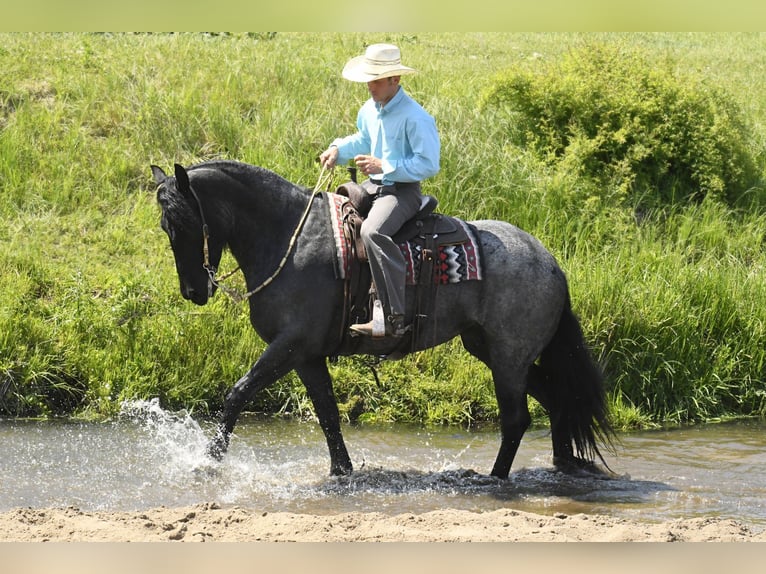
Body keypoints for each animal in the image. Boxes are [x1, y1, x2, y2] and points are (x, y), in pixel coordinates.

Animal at [153, 160, 616, 480]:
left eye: (185, 222)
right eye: (165, 226)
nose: (193, 291)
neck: (287, 237)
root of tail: (550, 262)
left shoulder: (289, 346)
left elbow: (237, 394)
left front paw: (208, 463)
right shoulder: (306, 356)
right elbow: (328, 414)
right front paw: (342, 471)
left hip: (508, 358)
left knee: (517, 418)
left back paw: (495, 479)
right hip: (493, 351)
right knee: (557, 399)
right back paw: (561, 466)